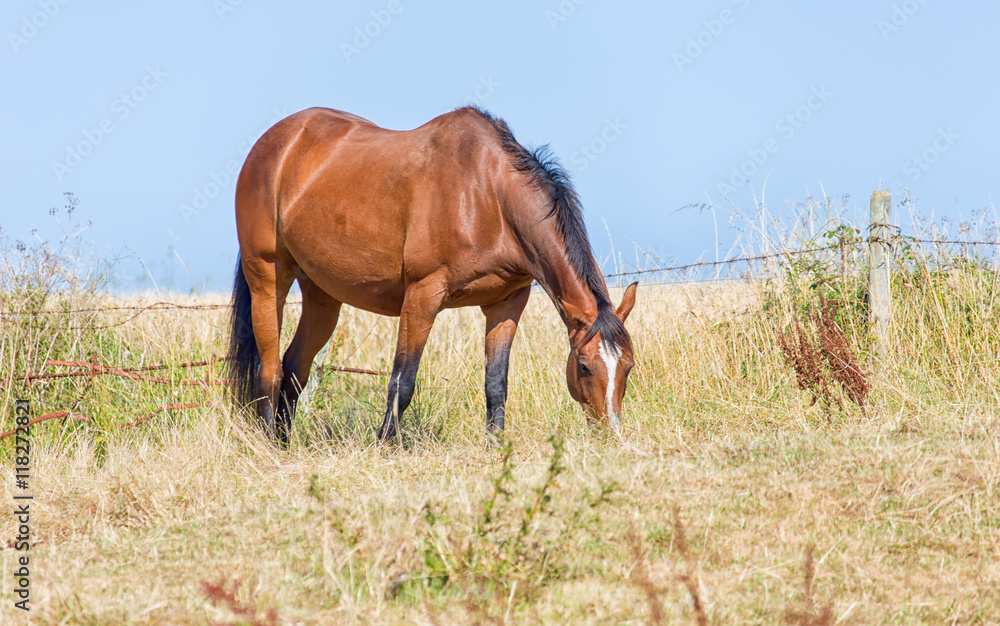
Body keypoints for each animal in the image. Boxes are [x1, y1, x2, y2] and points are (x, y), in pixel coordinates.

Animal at [227, 106, 638, 445]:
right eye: (584, 365)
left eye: (628, 367)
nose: (612, 435)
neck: (487, 195)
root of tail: (276, 142)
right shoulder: (422, 296)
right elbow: (402, 382)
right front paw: (385, 448)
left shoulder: (507, 303)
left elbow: (496, 384)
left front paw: (495, 449)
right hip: (267, 279)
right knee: (269, 372)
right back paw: (269, 446)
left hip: (322, 296)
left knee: (294, 370)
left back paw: (285, 445)